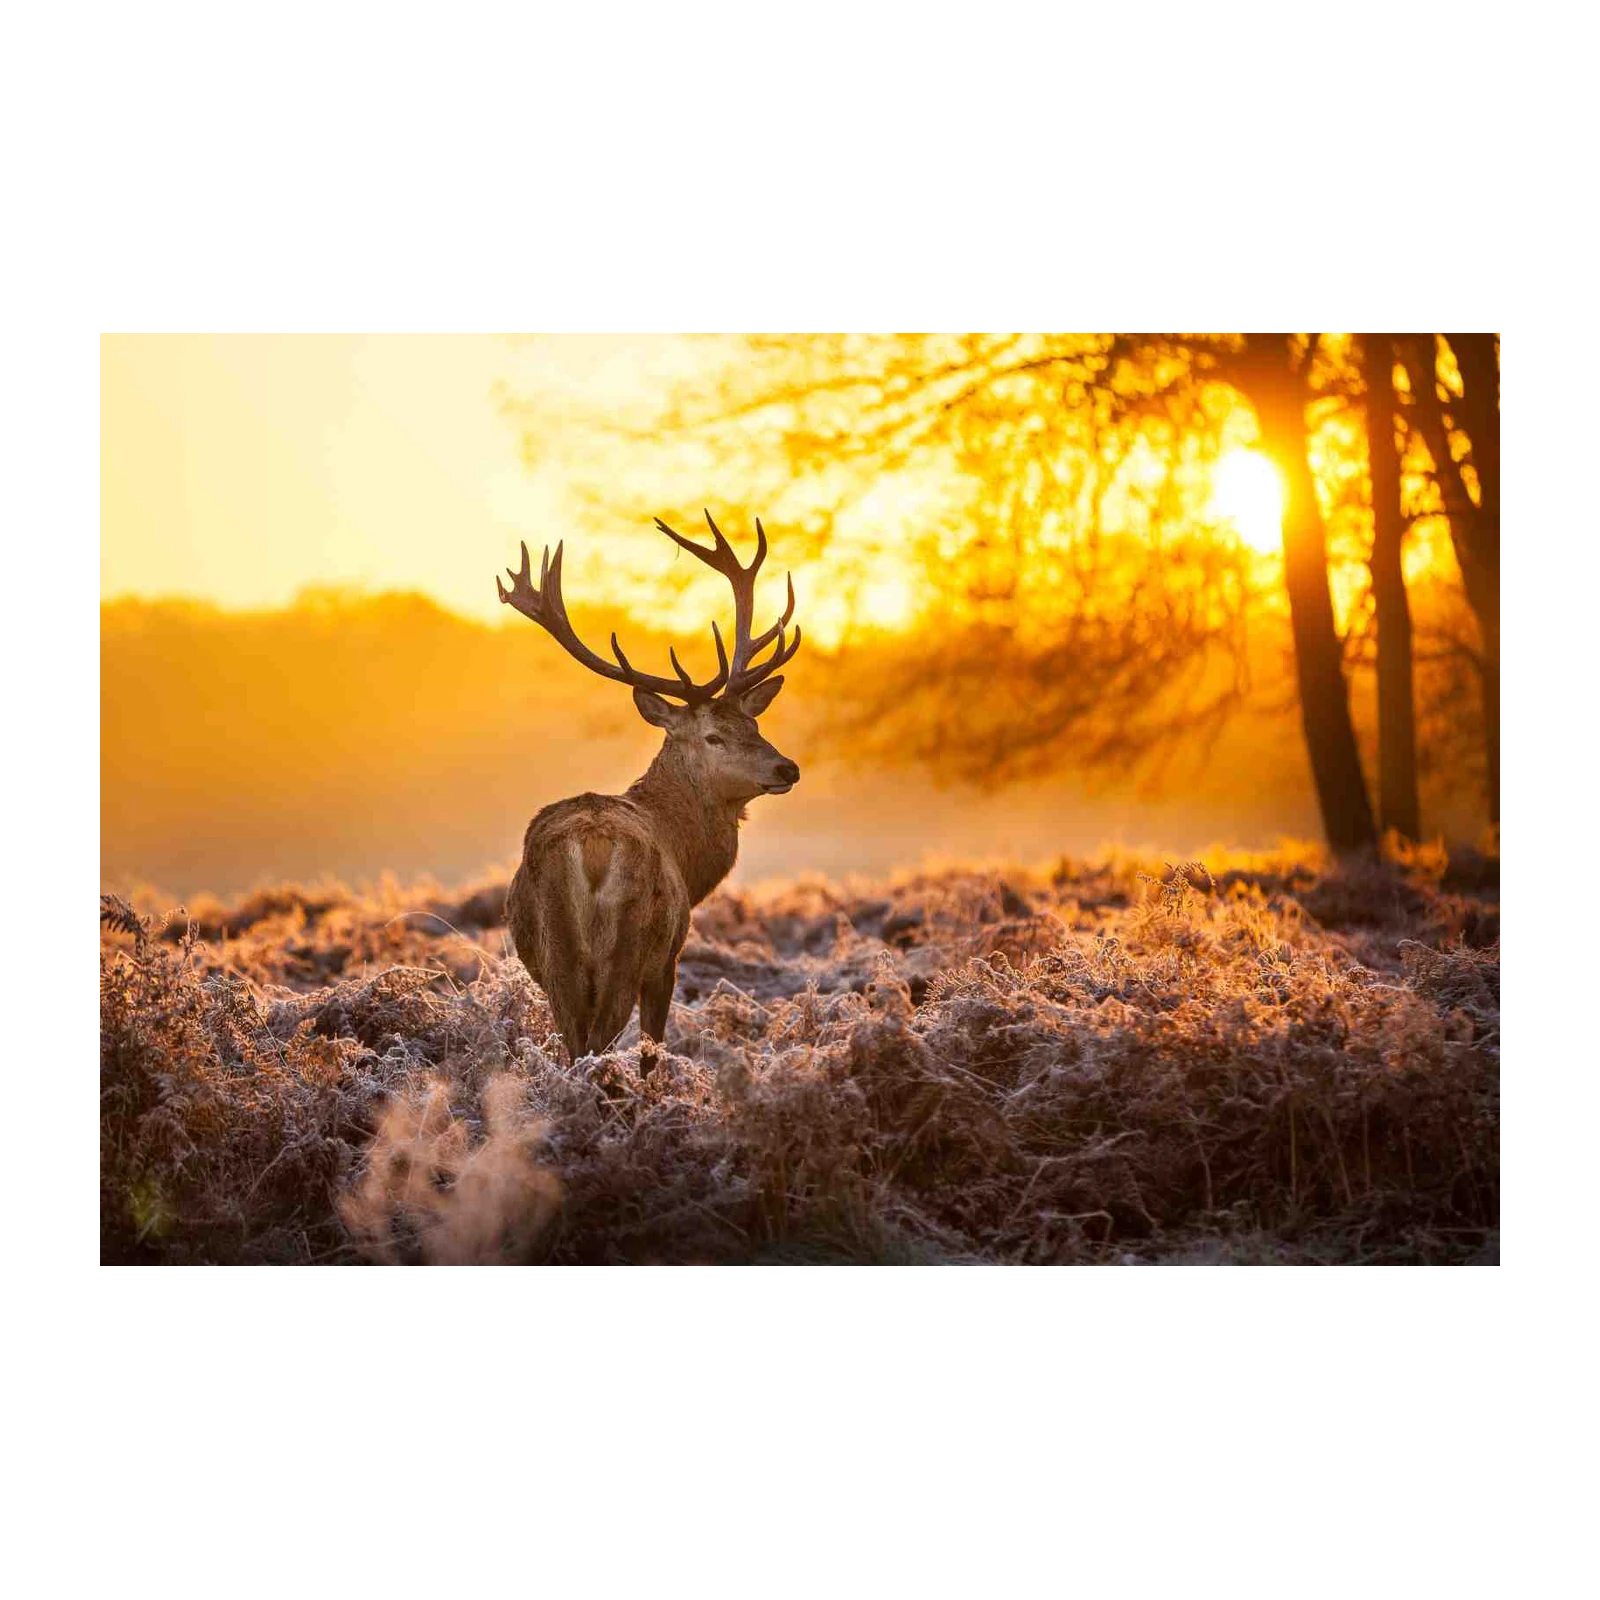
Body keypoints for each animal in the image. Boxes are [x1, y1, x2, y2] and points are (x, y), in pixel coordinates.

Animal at [495, 511, 802, 1069]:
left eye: (754, 724)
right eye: (714, 736)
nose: (787, 768)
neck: (687, 856)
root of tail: (593, 846)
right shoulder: (668, 958)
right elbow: (653, 1045)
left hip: (557, 957)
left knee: (575, 1047)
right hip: (630, 946)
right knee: (599, 1043)